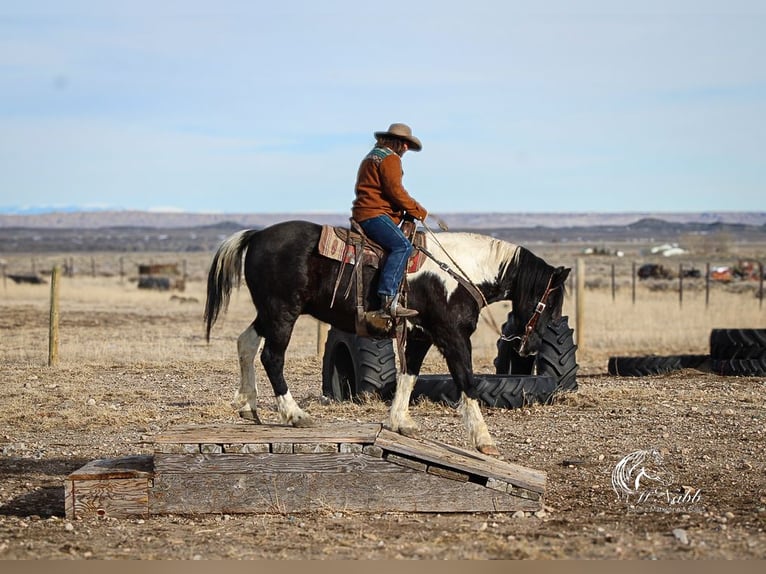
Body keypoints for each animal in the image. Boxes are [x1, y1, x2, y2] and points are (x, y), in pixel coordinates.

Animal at [204, 222, 568, 460]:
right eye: (550, 300)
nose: (530, 349)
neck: (459, 272)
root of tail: (256, 235)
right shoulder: (452, 336)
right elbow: (467, 380)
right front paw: (484, 440)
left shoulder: (421, 335)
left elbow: (409, 375)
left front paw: (399, 422)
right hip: (283, 312)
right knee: (272, 357)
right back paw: (294, 414)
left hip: (268, 312)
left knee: (246, 343)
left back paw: (248, 405)